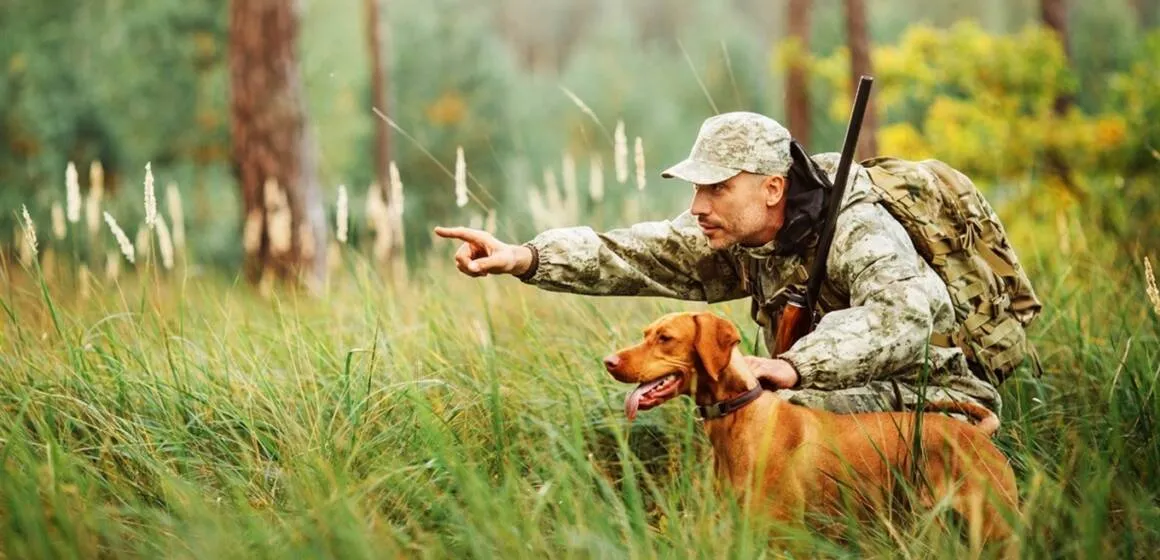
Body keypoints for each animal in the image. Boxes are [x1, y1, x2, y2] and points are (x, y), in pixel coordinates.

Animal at [603, 310, 1020, 551]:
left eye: (665, 338)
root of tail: (979, 435)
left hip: (995, 528)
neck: (740, 417)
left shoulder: (786, 538)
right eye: (646, 333)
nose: (609, 362)